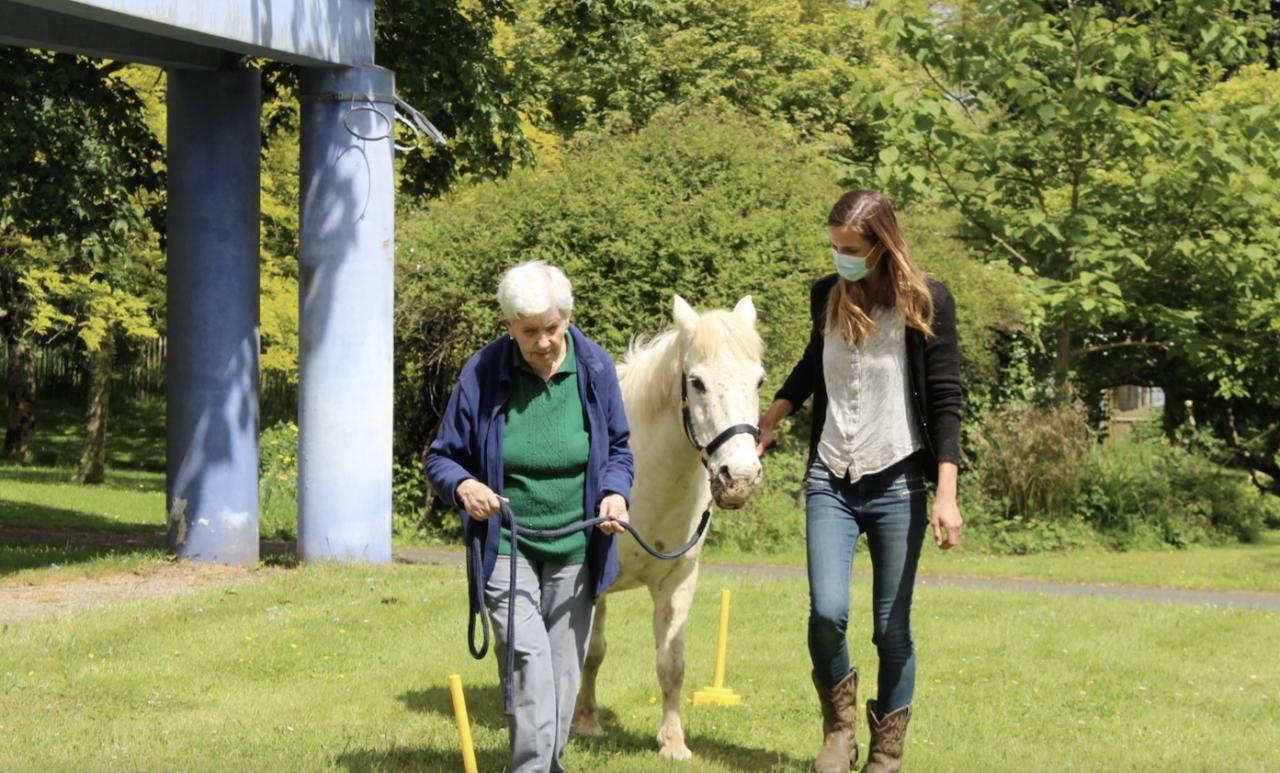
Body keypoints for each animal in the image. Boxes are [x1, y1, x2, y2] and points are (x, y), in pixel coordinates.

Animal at [576, 293, 762, 757]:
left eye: (759, 382)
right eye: (696, 382)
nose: (740, 477)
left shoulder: (678, 581)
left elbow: (672, 663)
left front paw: (673, 742)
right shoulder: (592, 583)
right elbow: (591, 651)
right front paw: (585, 722)